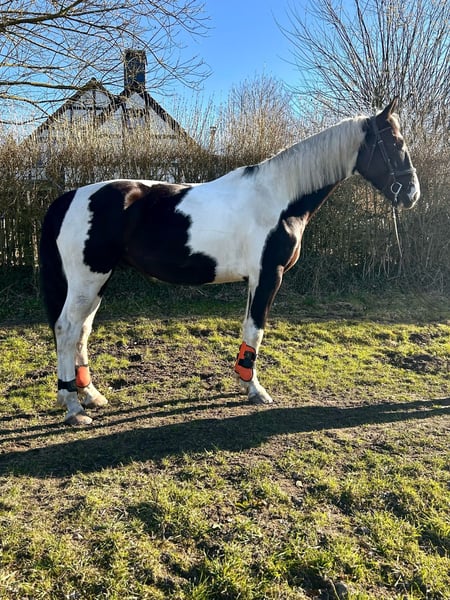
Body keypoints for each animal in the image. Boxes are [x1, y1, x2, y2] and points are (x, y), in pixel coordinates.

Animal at [40, 98, 420, 425]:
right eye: (395, 143)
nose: (412, 194)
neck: (279, 197)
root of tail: (70, 197)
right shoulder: (269, 275)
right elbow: (256, 329)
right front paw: (254, 389)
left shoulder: (256, 279)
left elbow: (249, 330)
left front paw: (243, 380)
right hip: (89, 279)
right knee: (67, 329)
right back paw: (73, 406)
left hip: (97, 281)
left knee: (81, 332)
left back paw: (91, 395)